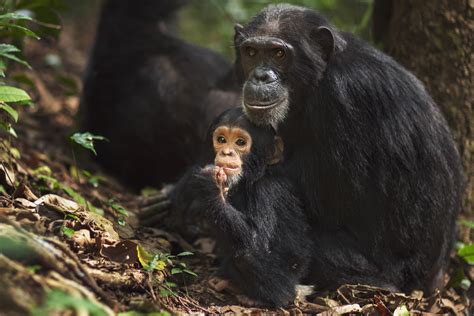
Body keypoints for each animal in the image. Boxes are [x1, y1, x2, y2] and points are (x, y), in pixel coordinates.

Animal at [169, 108, 312, 306]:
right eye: (221, 139)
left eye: (240, 142)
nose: (227, 152)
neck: (249, 180)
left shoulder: (267, 191)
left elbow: (254, 238)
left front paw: (211, 186)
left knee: (246, 256)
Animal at [233, 3, 462, 294]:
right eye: (251, 52)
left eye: (279, 53)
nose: (261, 76)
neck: (319, 77)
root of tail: (435, 280)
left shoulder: (345, 96)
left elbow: (330, 199)